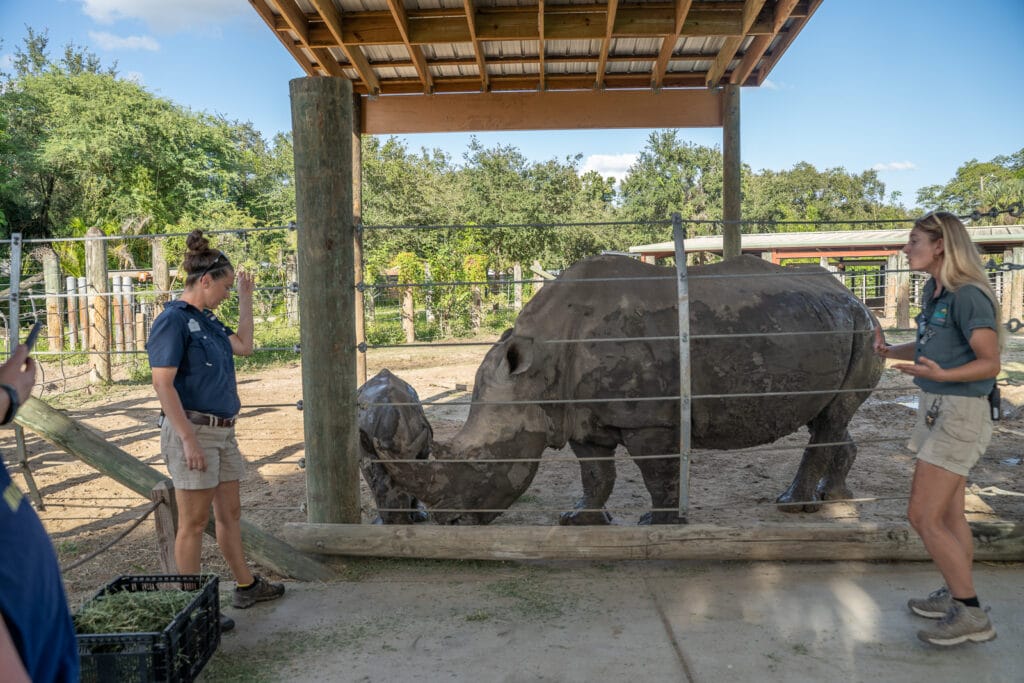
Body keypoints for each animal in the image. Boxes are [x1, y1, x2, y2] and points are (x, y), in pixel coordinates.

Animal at [358, 253, 883, 525]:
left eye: (486, 464)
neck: (536, 371)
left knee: (830, 419)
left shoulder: (650, 418)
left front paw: (660, 522)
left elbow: (656, 472)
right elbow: (596, 474)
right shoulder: (579, 415)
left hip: (861, 326)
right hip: (838, 324)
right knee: (830, 416)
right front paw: (580, 519)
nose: (448, 523)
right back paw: (835, 498)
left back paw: (794, 506)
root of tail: (852, 294)